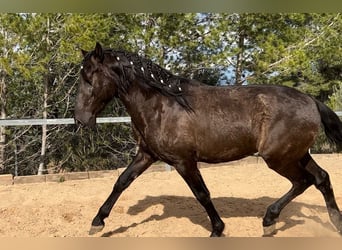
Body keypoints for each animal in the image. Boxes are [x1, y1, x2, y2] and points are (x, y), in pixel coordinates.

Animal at [74, 42, 342, 236]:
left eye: (89, 77)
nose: (80, 119)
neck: (162, 106)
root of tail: (311, 100)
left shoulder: (184, 161)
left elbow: (202, 194)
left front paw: (217, 230)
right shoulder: (146, 155)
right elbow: (121, 181)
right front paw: (97, 222)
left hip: (278, 158)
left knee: (304, 181)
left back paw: (269, 220)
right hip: (297, 154)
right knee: (321, 178)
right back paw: (335, 223)